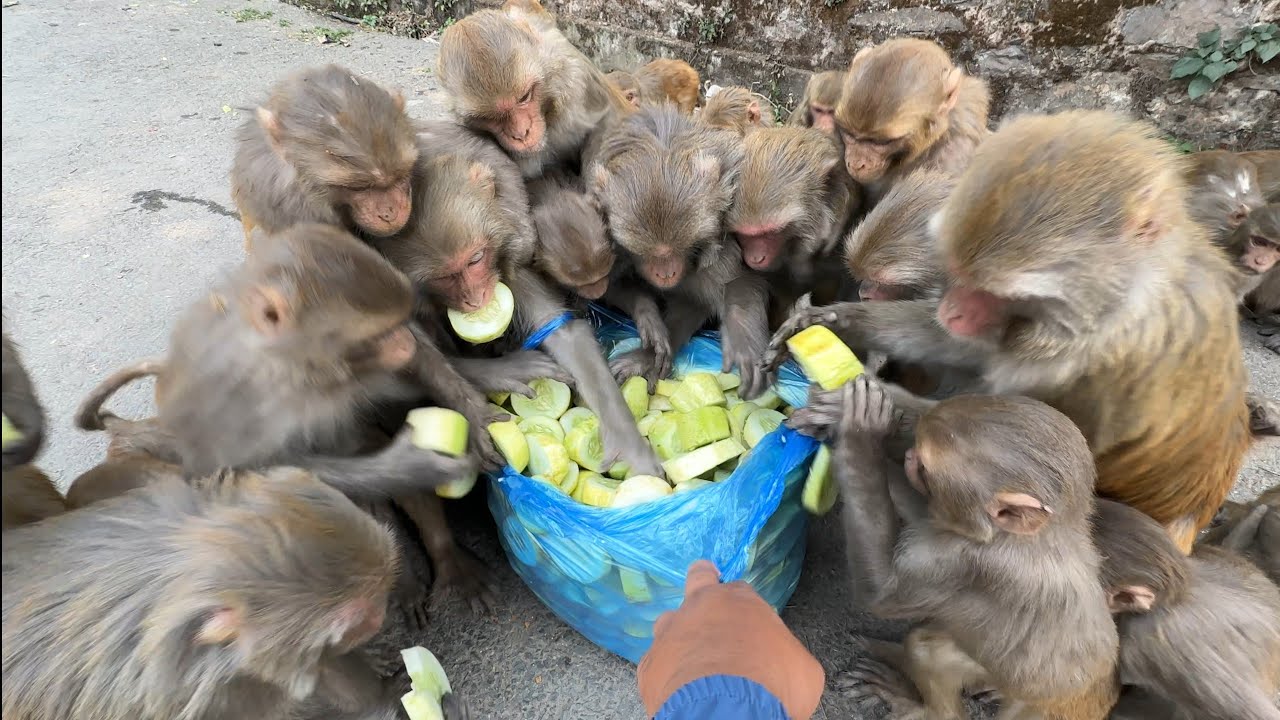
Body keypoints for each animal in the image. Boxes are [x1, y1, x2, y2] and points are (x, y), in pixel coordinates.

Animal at [376, 126, 663, 478]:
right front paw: (497, 383)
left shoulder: (512, 253)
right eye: (444, 277)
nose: (477, 298)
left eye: (475, 259)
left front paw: (628, 441)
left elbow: (562, 332)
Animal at [589, 105, 773, 400]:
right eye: (651, 254)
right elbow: (604, 290)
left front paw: (744, 338)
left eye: (679, 249)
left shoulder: (720, 244)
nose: (666, 273)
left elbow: (736, 282)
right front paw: (649, 321)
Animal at [765, 111, 1252, 553]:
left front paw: (856, 408)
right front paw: (832, 321)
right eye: (956, 272)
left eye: (988, 289)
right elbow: (964, 347)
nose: (953, 310)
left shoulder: (1103, 368)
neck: (1111, 310)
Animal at [791, 379, 1119, 720]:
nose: (909, 456)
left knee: (926, 649)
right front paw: (837, 415)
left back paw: (917, 702)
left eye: (924, 465)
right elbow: (927, 514)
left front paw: (859, 435)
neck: (1041, 534)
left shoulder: (967, 562)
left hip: (1024, 693)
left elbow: (880, 593)